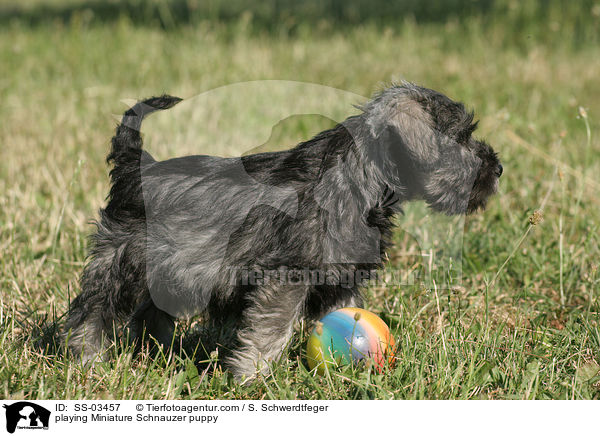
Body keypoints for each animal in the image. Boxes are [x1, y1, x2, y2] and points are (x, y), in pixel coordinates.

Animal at [63, 83, 502, 380]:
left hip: (170, 273)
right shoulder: (286, 277)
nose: (497, 168)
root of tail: (136, 167)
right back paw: (89, 363)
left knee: (148, 314)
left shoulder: (341, 279)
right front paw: (251, 377)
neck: (359, 179)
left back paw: (156, 354)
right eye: (462, 136)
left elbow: (343, 317)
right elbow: (270, 329)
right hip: (121, 261)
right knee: (91, 314)